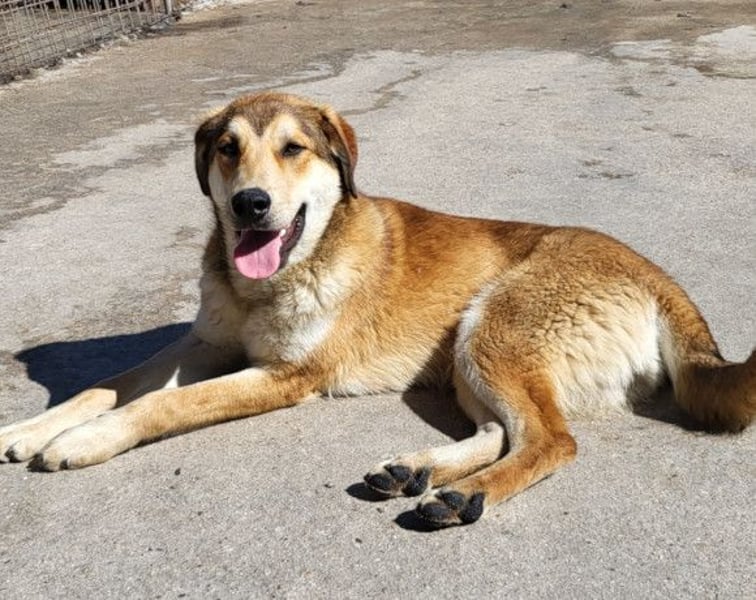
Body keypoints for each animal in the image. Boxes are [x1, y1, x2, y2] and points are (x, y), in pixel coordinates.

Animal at [1, 92, 753, 527]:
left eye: (293, 149)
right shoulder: (204, 344)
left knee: (551, 440)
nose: (250, 205)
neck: (270, 281)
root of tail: (654, 272)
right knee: (502, 431)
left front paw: (85, 440)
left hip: (490, 331)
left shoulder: (286, 376)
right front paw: (34, 426)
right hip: (466, 359)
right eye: (227, 149)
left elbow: (162, 403)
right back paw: (420, 472)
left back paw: (465, 496)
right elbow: (108, 383)